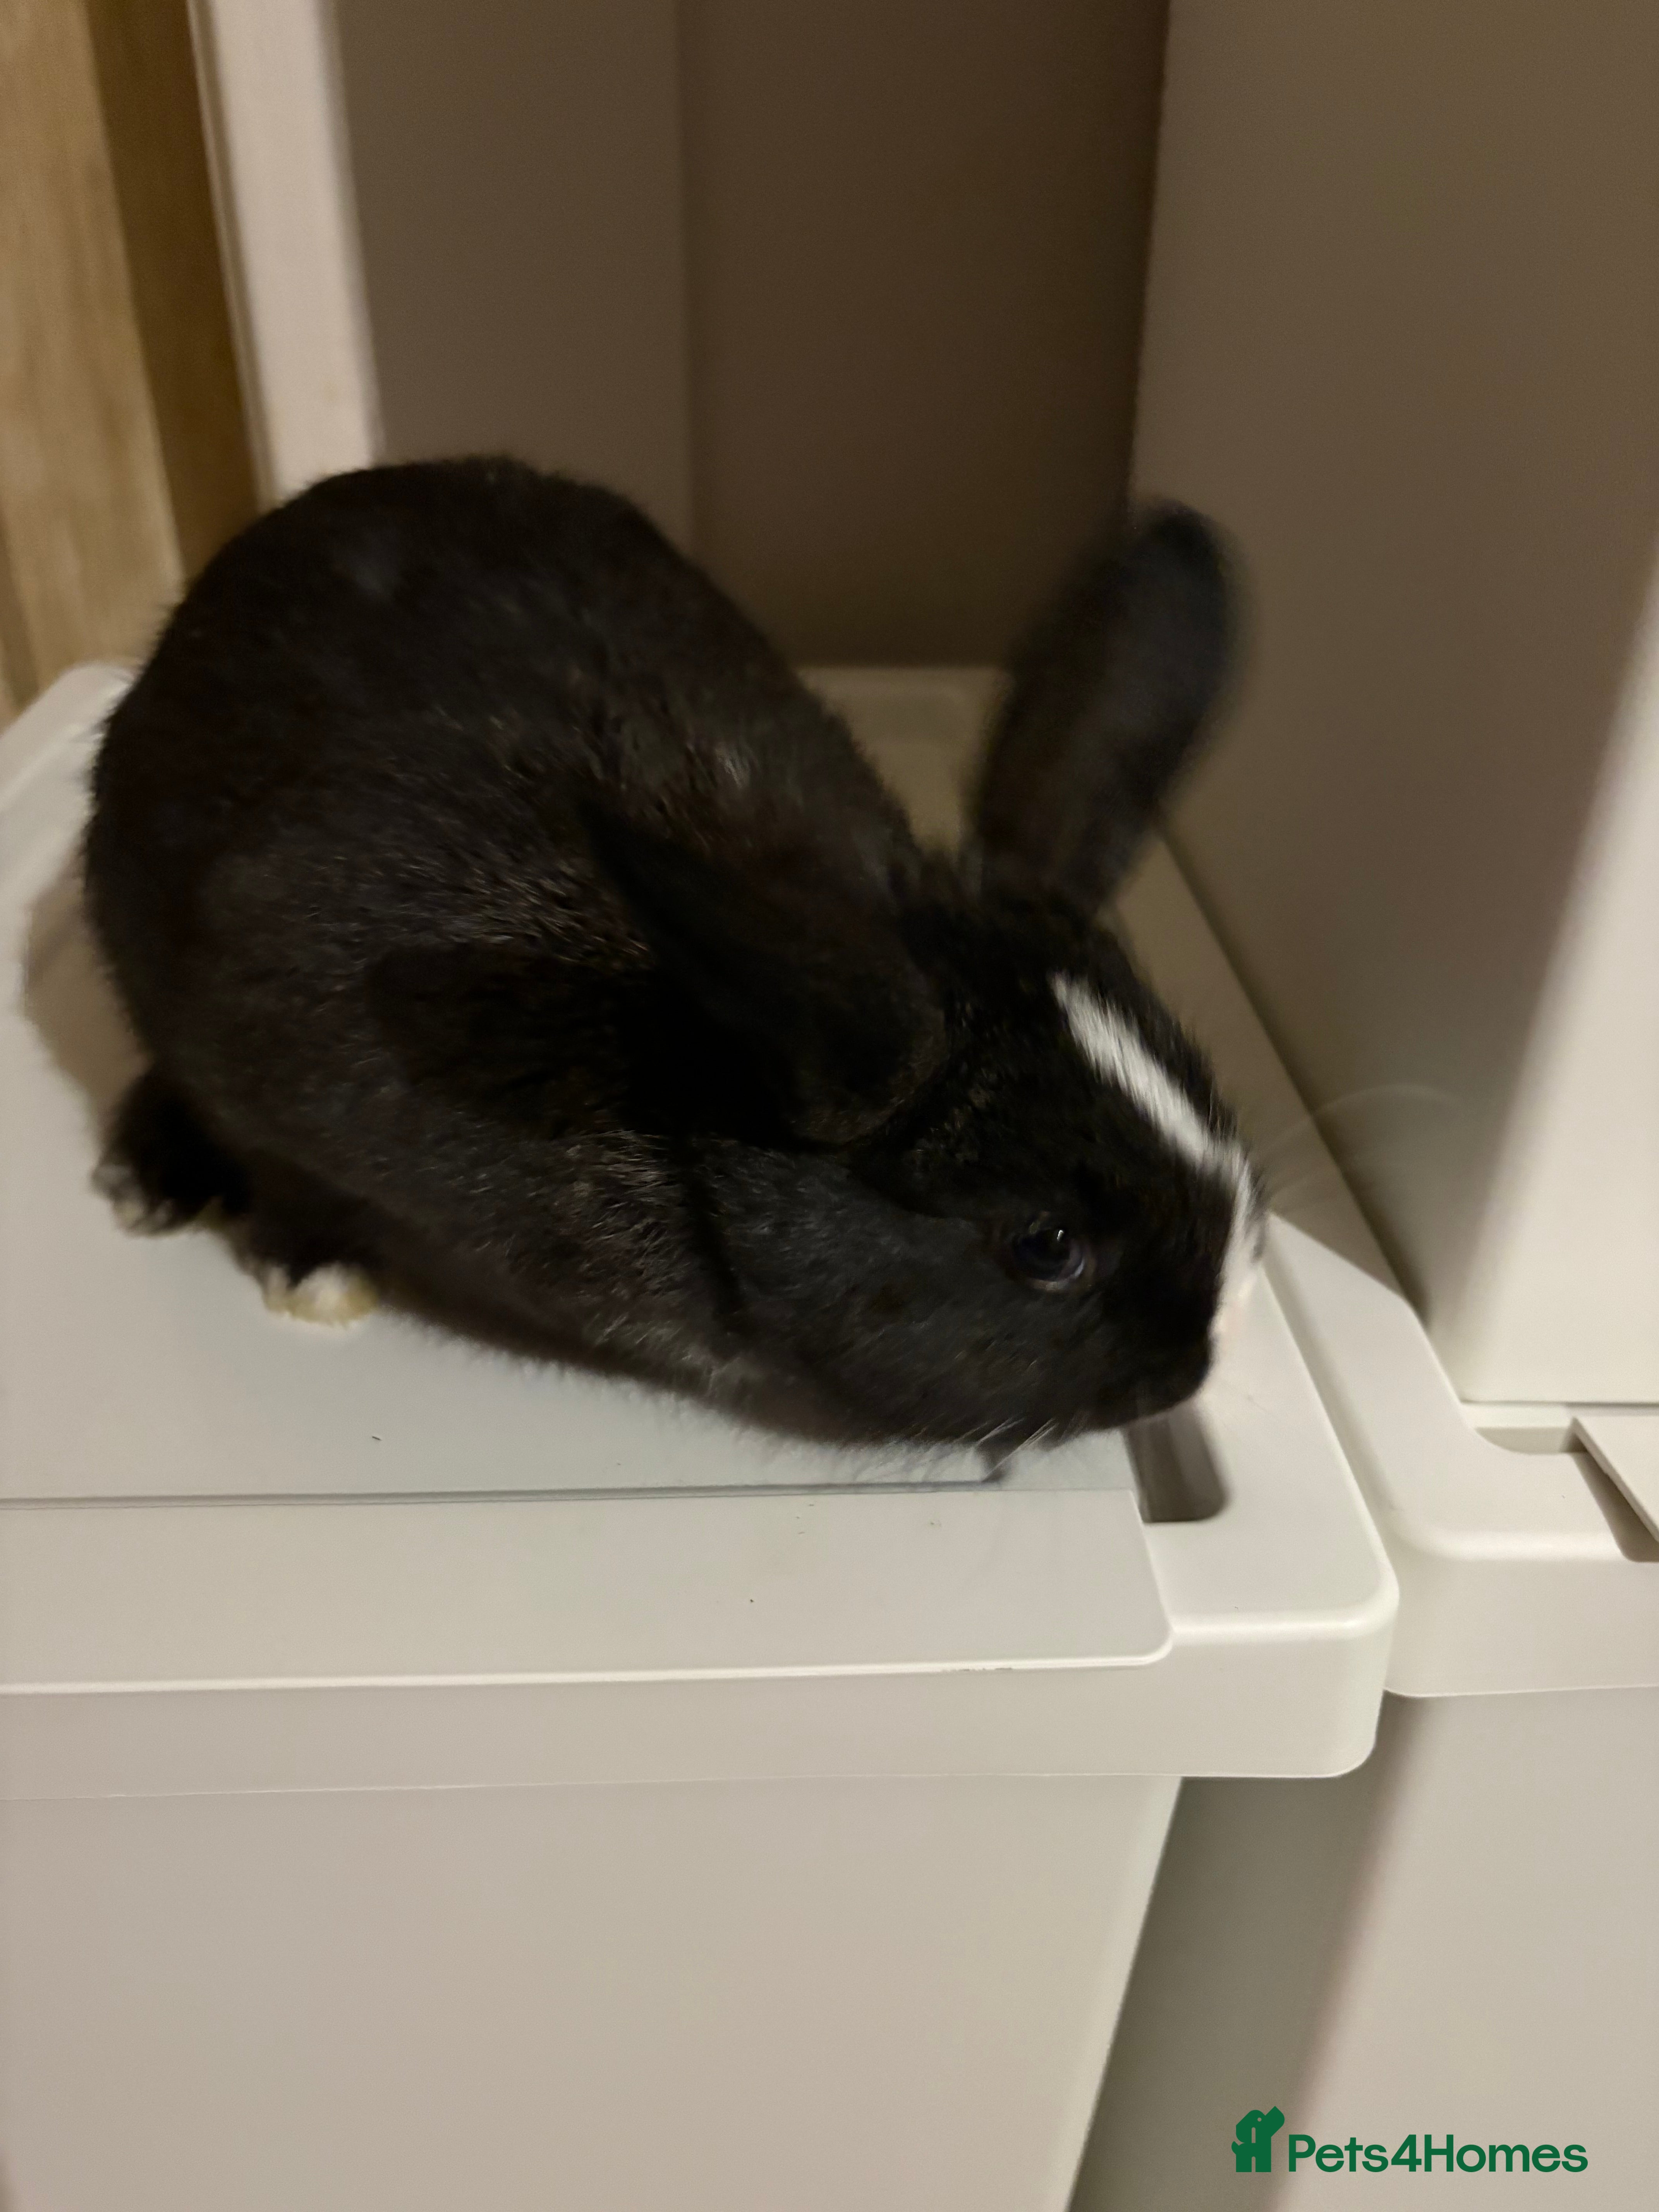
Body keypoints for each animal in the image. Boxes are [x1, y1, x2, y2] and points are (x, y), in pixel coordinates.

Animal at [83, 456, 1261, 1448]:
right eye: (1046, 1246)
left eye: (1222, 1123)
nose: (1189, 1374)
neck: (695, 1085)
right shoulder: (258, 1038)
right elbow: (277, 1163)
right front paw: (316, 1272)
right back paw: (153, 1180)